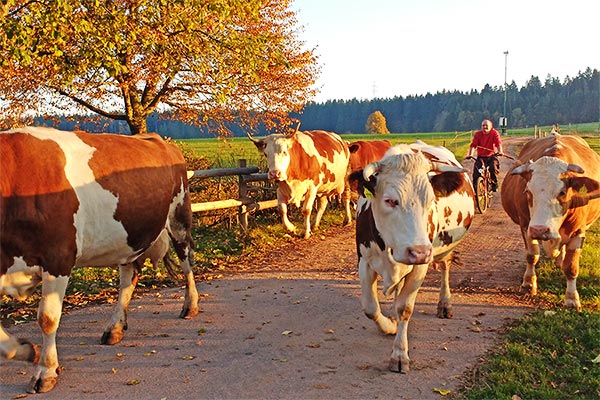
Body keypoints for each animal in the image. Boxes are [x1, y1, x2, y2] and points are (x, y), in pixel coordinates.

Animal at [0, 126, 202, 392]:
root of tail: (156, 139)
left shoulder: (58, 258)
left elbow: (47, 318)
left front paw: (46, 372)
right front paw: (27, 350)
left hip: (179, 217)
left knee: (186, 260)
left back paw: (190, 305)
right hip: (129, 237)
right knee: (129, 276)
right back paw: (114, 328)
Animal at [350, 142, 476, 374]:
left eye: (431, 199)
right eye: (390, 200)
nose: (419, 252)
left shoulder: (420, 267)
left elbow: (405, 308)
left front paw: (400, 354)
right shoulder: (364, 261)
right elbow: (370, 308)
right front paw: (389, 325)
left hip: (443, 249)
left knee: (445, 267)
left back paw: (445, 304)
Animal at [502, 133, 600, 310]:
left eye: (562, 192)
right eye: (528, 191)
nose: (540, 230)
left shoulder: (578, 231)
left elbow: (571, 267)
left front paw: (572, 299)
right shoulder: (526, 226)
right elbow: (532, 255)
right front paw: (529, 284)